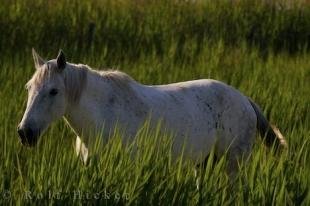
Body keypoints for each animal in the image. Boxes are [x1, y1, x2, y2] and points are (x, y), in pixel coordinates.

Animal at [17, 49, 286, 169]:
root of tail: (244, 100)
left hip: (234, 163)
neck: (104, 117)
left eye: (53, 91)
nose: (24, 133)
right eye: (28, 87)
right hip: (205, 163)